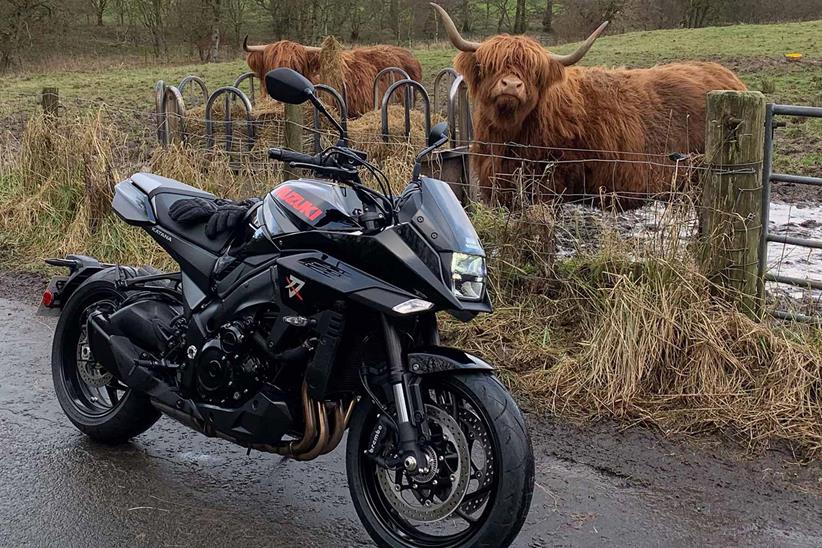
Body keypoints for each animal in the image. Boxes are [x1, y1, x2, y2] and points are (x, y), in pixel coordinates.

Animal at [434, 3, 748, 209]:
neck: (509, 135)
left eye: (534, 72)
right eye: (490, 65)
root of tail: (730, 78)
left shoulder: (548, 185)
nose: (511, 85)